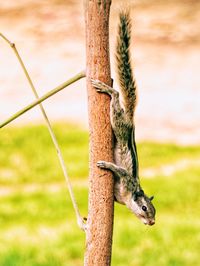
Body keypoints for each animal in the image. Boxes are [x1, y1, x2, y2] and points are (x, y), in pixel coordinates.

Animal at [91, 10, 155, 227]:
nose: (152, 223)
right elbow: (120, 170)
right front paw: (107, 165)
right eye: (144, 208)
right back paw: (108, 90)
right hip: (119, 124)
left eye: (154, 211)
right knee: (117, 95)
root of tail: (130, 120)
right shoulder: (127, 179)